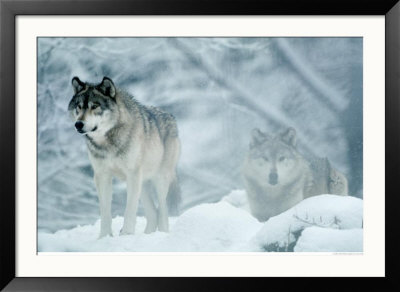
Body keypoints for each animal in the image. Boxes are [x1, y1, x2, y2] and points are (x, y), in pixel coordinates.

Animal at [68, 76, 180, 237]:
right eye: (79, 106)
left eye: (94, 106)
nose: (78, 124)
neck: (107, 143)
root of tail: (171, 116)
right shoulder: (102, 176)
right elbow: (105, 212)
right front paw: (105, 237)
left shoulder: (132, 175)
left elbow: (129, 210)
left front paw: (126, 234)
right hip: (143, 185)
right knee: (153, 213)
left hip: (159, 179)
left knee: (163, 211)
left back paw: (163, 234)